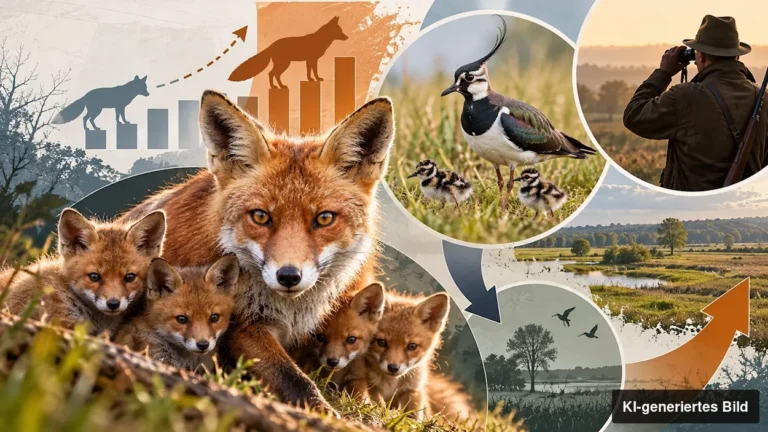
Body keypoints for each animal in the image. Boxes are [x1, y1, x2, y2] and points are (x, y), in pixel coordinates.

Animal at [119, 90, 394, 410]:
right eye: (260, 216)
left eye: (325, 218)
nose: (288, 276)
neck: (292, 311)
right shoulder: (243, 327)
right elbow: (296, 381)